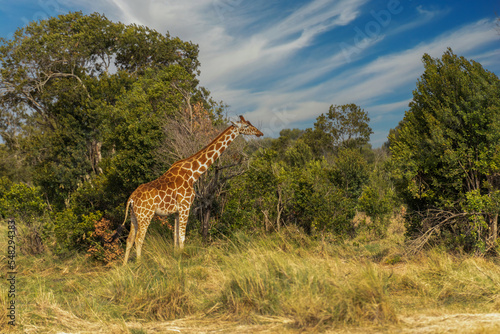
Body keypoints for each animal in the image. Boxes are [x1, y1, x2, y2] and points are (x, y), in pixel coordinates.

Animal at [117, 115, 266, 264]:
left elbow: (176, 238)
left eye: (250, 123)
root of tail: (131, 199)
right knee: (139, 239)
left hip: (134, 216)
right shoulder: (185, 206)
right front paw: (183, 259)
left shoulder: (177, 211)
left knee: (129, 239)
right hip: (145, 215)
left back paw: (125, 266)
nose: (260, 133)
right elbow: (182, 237)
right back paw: (139, 264)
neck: (193, 173)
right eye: (246, 126)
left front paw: (176, 257)